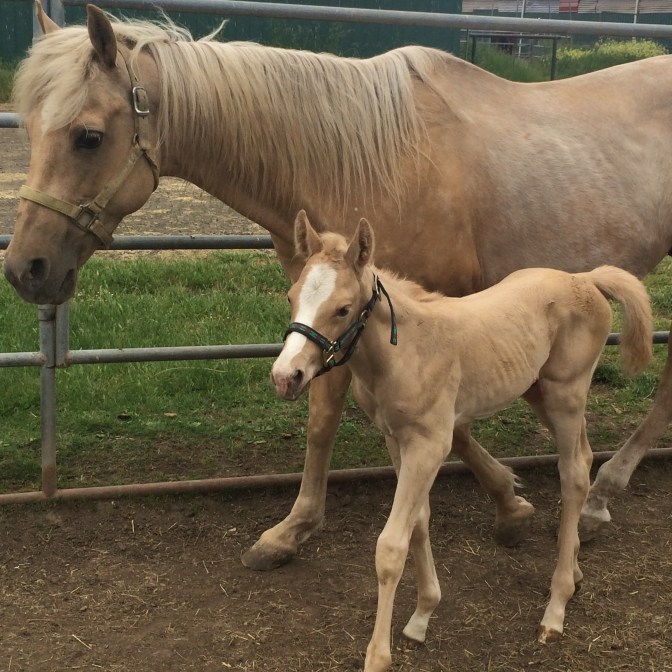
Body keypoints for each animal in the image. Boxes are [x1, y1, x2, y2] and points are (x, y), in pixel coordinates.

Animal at [4, 3, 671, 572]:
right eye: (30, 129)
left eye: (88, 136)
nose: (25, 268)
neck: (365, 161)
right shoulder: (328, 318)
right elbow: (323, 416)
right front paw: (291, 530)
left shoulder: (425, 317)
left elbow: (450, 424)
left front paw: (509, 503)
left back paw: (602, 495)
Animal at [271, 210, 653, 670]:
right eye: (291, 297)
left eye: (343, 309)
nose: (286, 377)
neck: (404, 350)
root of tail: (586, 279)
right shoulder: (397, 439)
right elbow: (419, 522)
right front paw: (422, 616)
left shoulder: (430, 444)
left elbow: (391, 546)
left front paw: (377, 655)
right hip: (541, 391)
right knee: (585, 454)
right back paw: (575, 571)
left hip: (568, 393)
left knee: (574, 473)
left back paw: (555, 609)